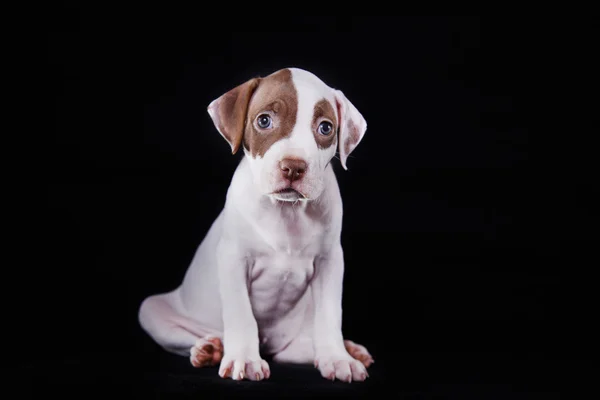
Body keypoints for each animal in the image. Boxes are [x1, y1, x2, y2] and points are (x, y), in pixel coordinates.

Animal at [140, 67, 372, 382]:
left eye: (325, 128)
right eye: (264, 121)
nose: (293, 167)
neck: (286, 212)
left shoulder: (330, 261)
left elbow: (329, 314)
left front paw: (337, 359)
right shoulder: (233, 259)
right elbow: (241, 315)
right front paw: (244, 359)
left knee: (293, 349)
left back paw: (347, 349)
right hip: (152, 310)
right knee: (188, 335)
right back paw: (210, 349)